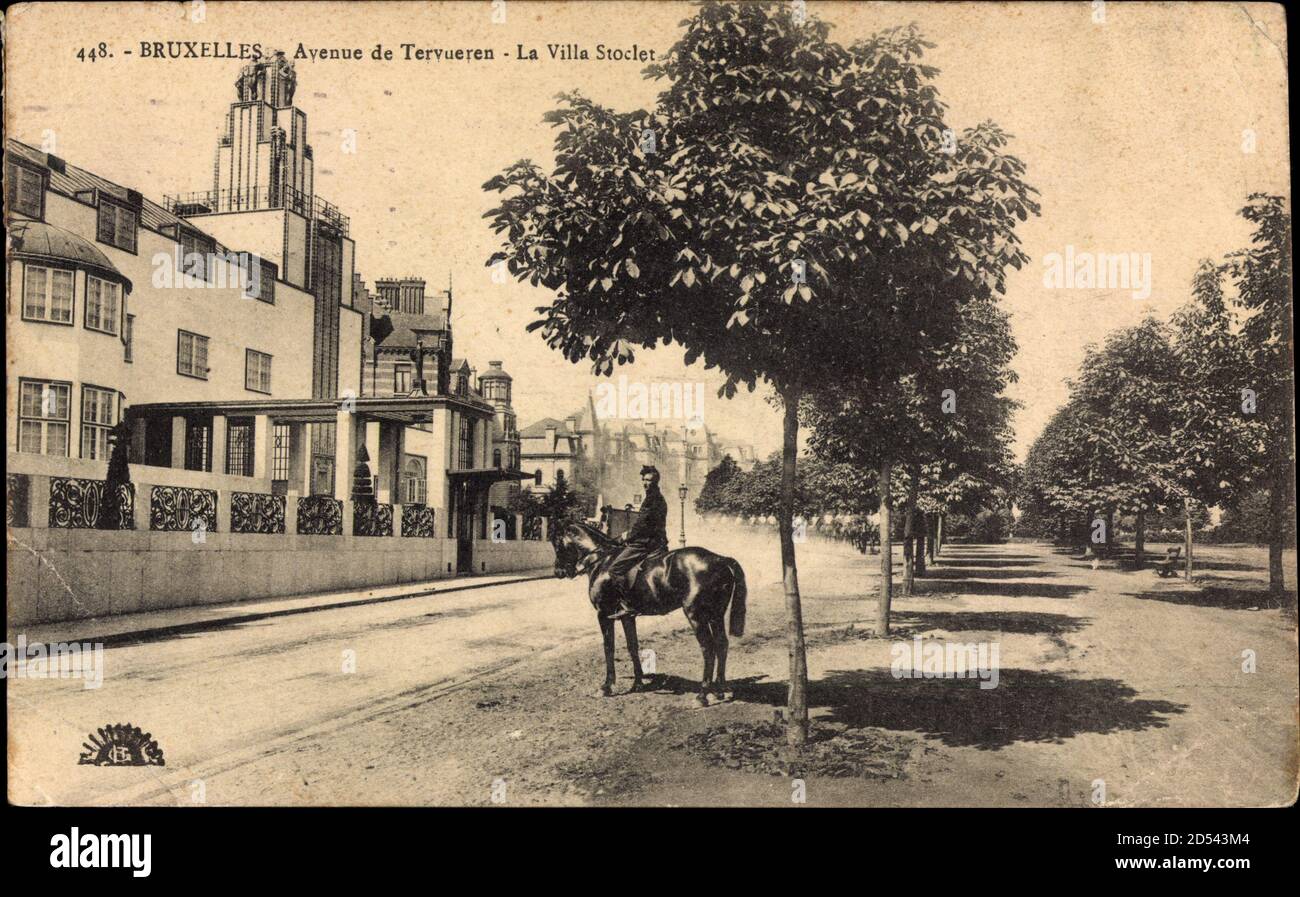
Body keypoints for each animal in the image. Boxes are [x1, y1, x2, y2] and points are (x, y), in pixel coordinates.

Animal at [551, 517, 754, 707]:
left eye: (557, 543)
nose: (559, 572)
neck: (602, 561)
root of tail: (721, 559)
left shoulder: (604, 614)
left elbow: (609, 647)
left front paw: (607, 687)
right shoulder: (627, 617)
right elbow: (632, 646)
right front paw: (638, 683)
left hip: (696, 616)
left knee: (708, 648)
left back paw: (702, 695)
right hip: (716, 615)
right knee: (722, 644)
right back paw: (720, 690)